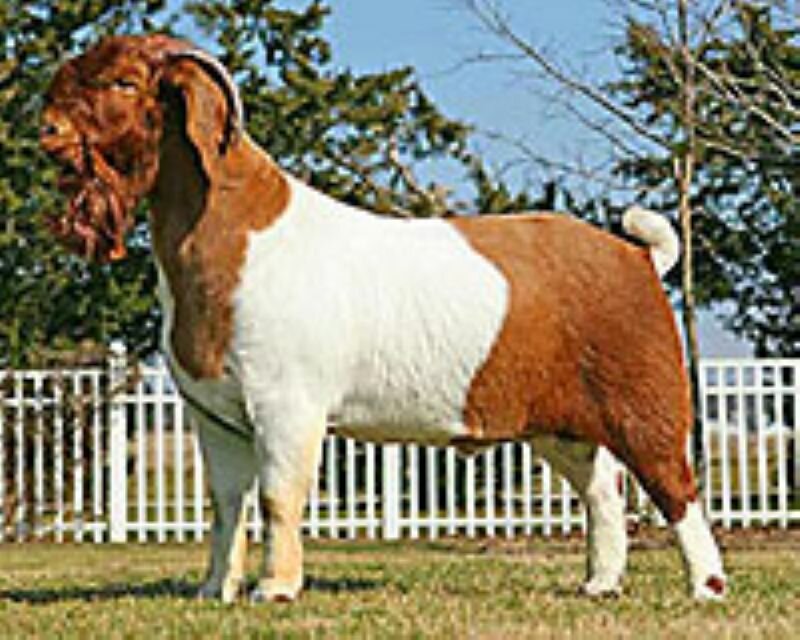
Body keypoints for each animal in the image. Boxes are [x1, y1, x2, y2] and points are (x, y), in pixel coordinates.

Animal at [40, 34, 725, 603]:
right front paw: (214, 591)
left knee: (675, 486)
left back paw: (707, 589)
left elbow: (278, 498)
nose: (47, 129)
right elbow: (228, 501)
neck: (235, 237)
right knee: (603, 490)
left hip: (645, 401)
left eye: (124, 82)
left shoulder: (287, 405)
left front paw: (274, 591)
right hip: (560, 425)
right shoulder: (214, 413)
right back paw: (599, 585)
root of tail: (637, 255)